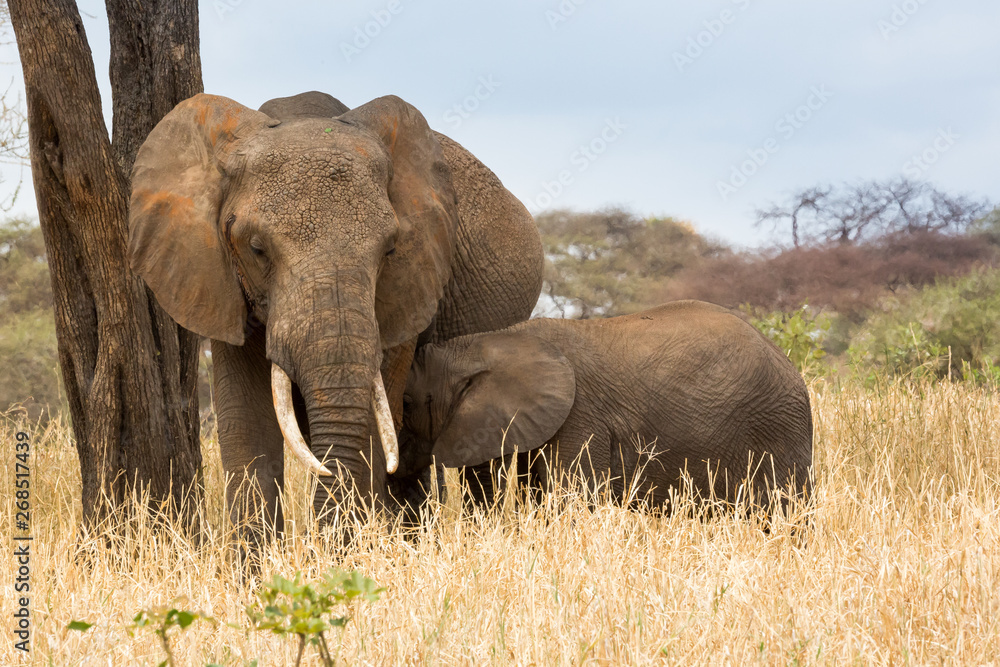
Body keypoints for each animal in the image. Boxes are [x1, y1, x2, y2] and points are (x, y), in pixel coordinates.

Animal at [127, 91, 543, 532]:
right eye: (256, 249)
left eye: (390, 250)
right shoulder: (220, 282)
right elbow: (247, 420)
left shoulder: (407, 287)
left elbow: (377, 420)